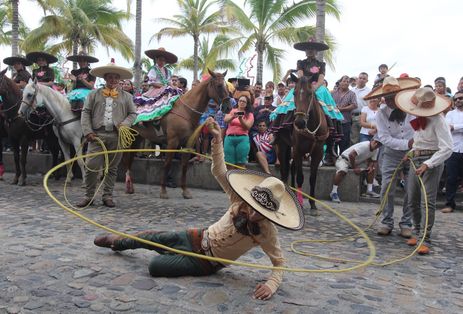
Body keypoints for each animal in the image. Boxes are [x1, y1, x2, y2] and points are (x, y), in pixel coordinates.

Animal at [123, 69, 230, 199]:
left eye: (226, 86)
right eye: (219, 86)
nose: (228, 107)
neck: (185, 111)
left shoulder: (188, 143)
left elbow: (184, 166)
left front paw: (185, 191)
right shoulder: (172, 142)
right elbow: (167, 164)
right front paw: (163, 191)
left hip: (137, 137)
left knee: (130, 158)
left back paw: (130, 186)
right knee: (126, 157)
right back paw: (127, 185)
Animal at [276, 75, 330, 215]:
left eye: (310, 93)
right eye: (294, 93)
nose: (299, 122)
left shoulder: (318, 153)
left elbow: (312, 178)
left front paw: (313, 204)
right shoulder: (298, 150)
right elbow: (300, 177)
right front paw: (300, 204)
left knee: (292, 168)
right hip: (282, 147)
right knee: (285, 171)